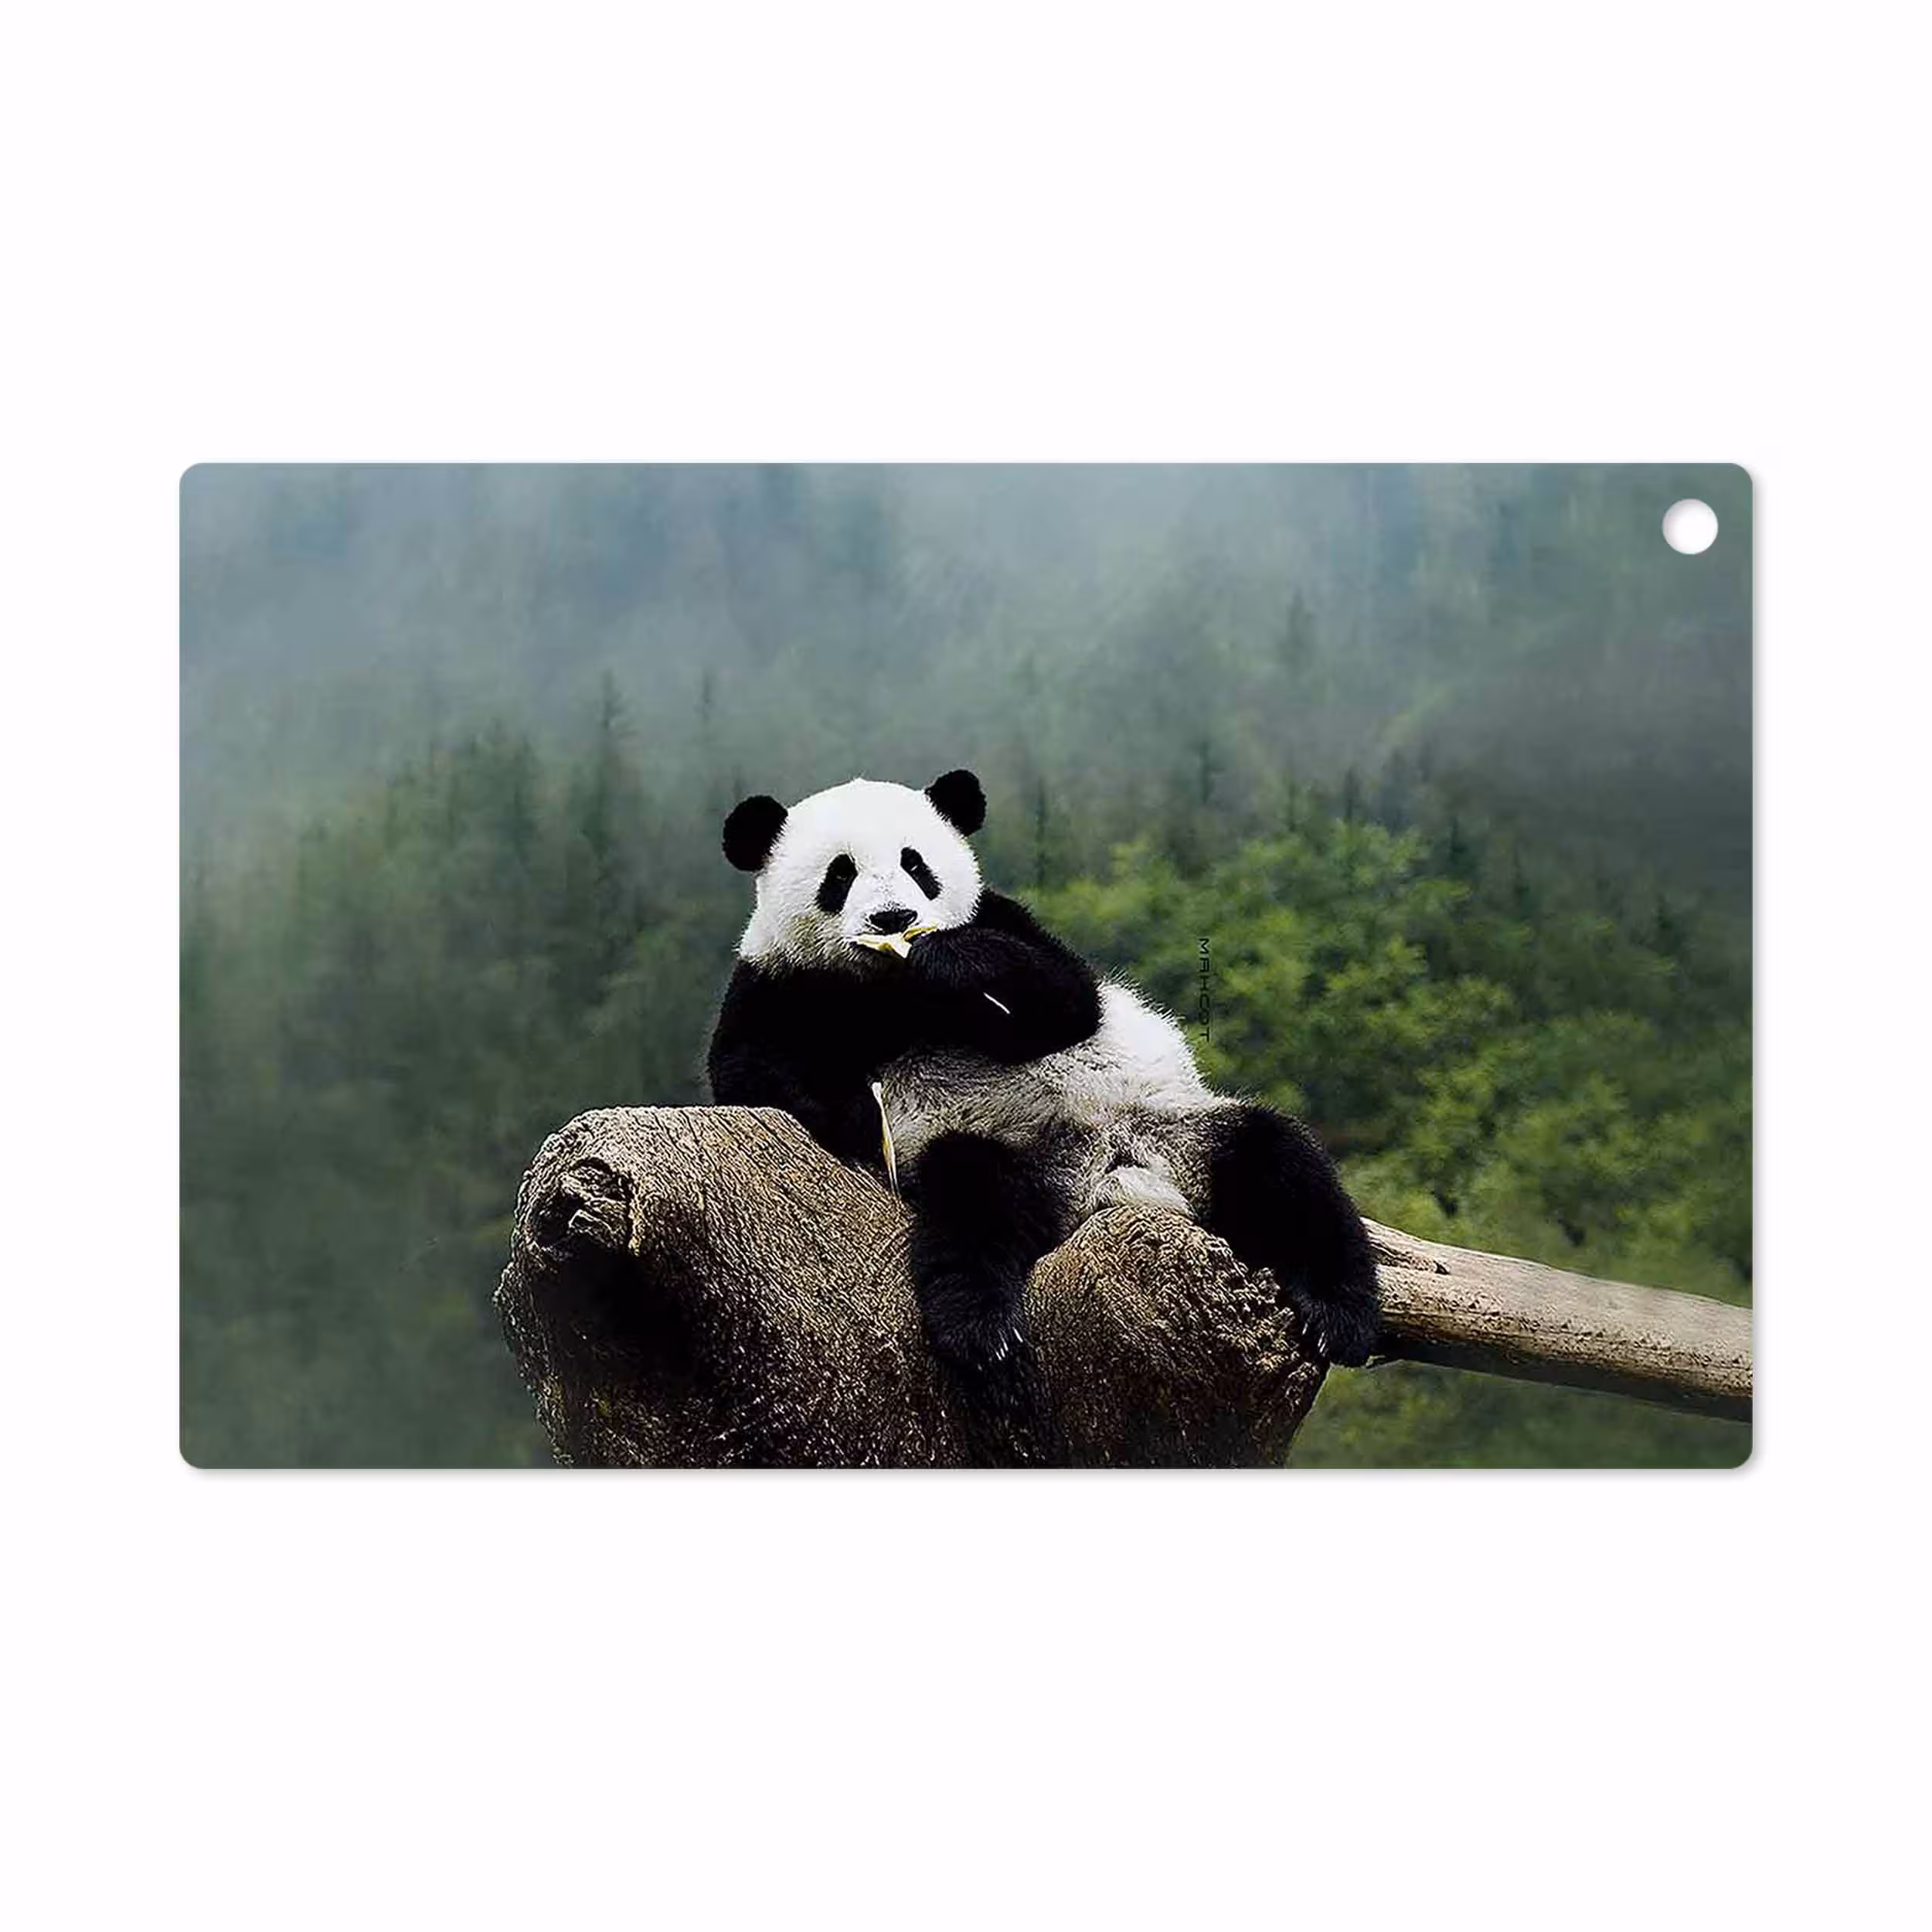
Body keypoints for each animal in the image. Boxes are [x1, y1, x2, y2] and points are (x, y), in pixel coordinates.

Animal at [706, 768, 1381, 1374]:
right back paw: (980, 1328)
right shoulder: (777, 982)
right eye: (840, 875)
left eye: (916, 865)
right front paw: (852, 1113)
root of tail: (1106, 1176)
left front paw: (951, 961)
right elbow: (749, 1073)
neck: (889, 989)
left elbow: (1069, 1000)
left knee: (1282, 1165)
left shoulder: (1003, 920)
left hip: (1178, 1129)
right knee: (973, 1204)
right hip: (1000, 1150)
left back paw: (1339, 1316)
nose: (894, 919)